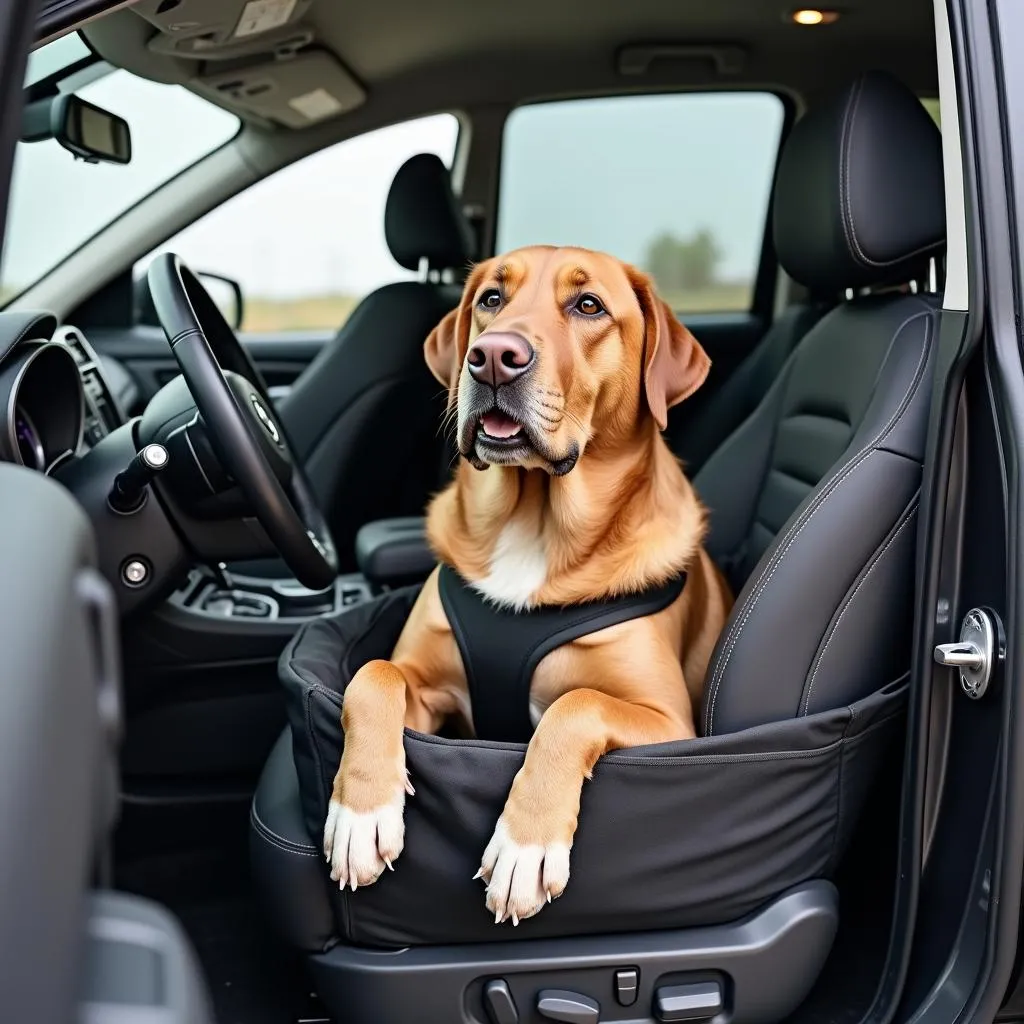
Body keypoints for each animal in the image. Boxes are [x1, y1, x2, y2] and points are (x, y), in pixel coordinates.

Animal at [323, 243, 733, 925]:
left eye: (588, 305)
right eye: (492, 298)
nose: (492, 356)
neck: (533, 523)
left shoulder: (670, 723)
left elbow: (575, 704)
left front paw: (525, 845)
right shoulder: (425, 682)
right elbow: (372, 675)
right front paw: (361, 812)